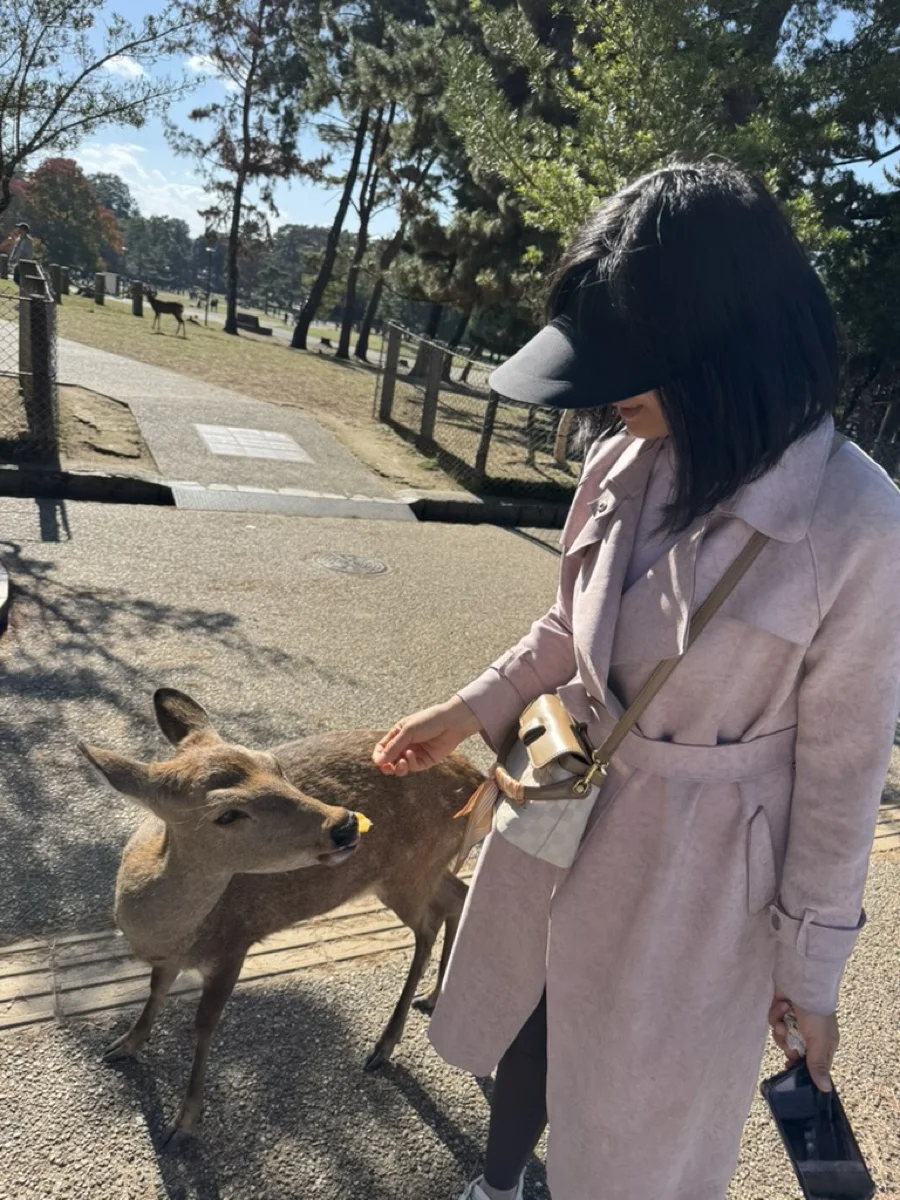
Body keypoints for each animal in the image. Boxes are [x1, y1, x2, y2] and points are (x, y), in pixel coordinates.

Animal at [78, 689, 480, 1147]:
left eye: (274, 765)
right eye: (226, 813)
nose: (344, 824)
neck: (165, 933)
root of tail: (478, 780)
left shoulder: (235, 942)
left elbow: (204, 1024)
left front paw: (183, 1123)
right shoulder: (170, 959)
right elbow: (155, 991)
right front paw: (124, 1044)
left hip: (408, 871)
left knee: (429, 925)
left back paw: (384, 1045)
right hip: (423, 869)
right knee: (457, 897)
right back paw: (432, 996)